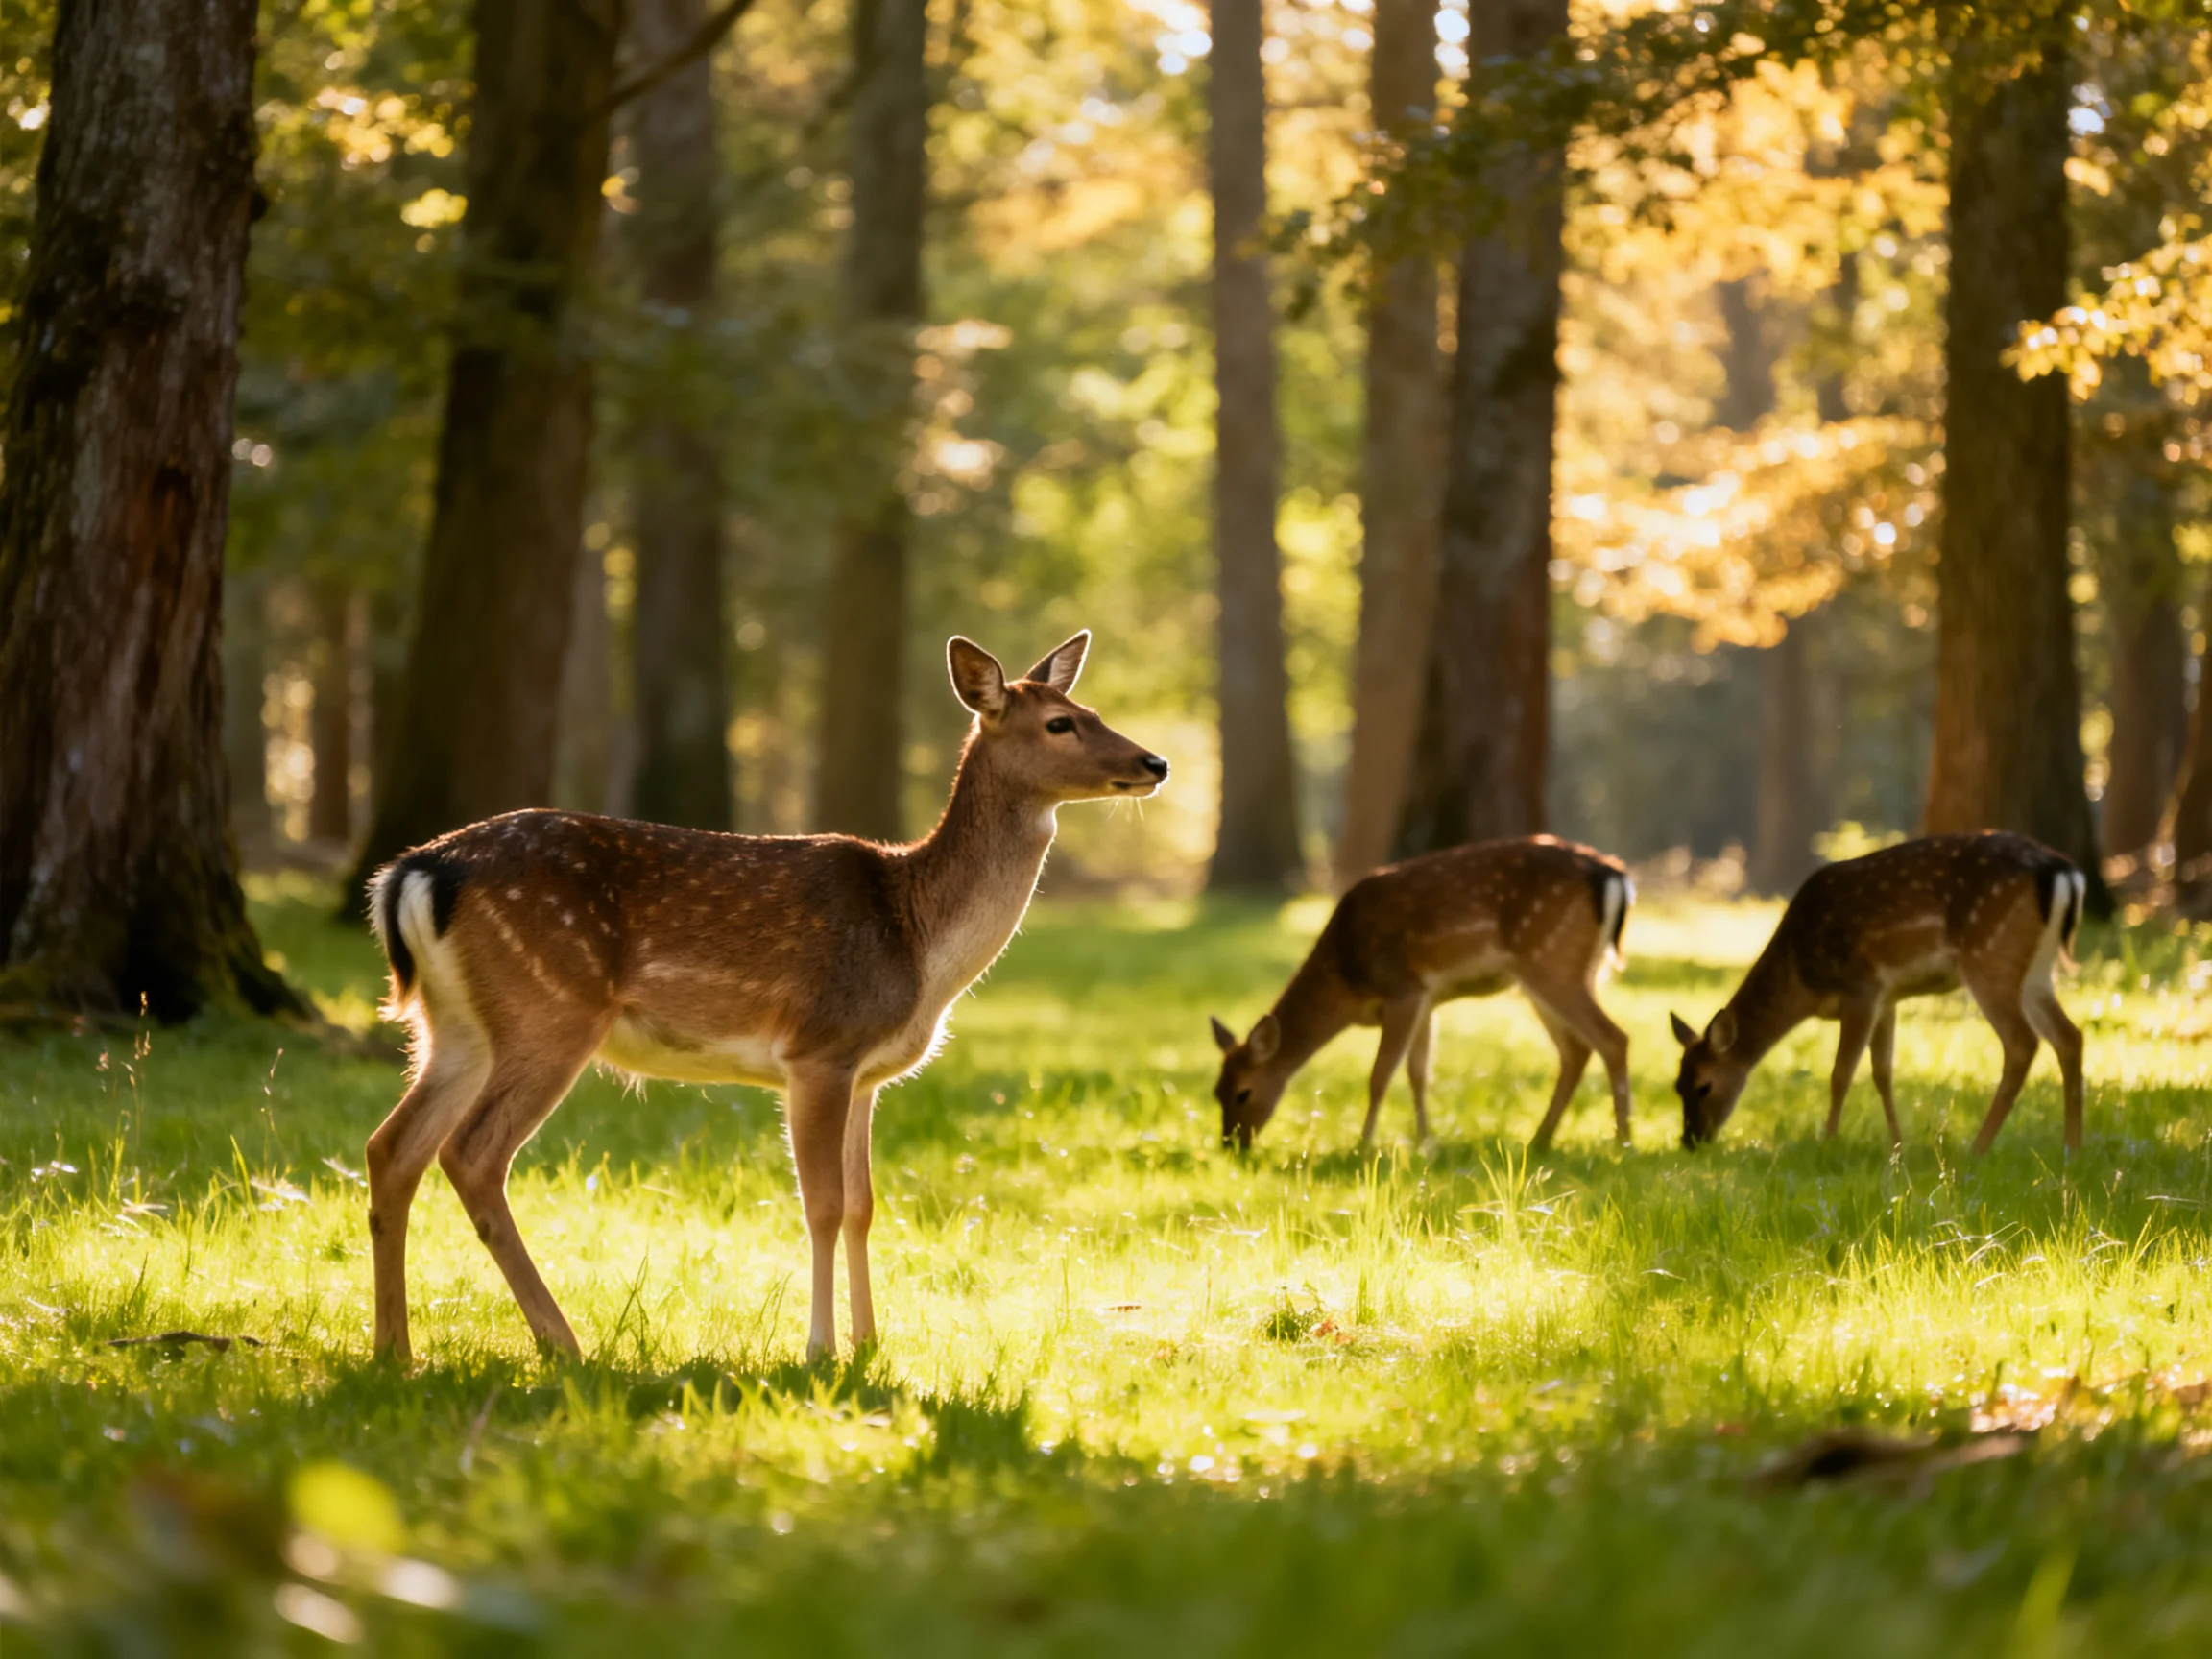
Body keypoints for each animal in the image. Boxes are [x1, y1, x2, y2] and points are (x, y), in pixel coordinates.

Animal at [364, 631, 1167, 1364]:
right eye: (1060, 724)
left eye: (1091, 709)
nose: (1154, 762)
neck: (918, 941)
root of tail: (415, 872)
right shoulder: (820, 1049)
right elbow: (823, 1205)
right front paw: (820, 1349)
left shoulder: (867, 1074)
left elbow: (864, 1205)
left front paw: (871, 1342)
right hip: (551, 1009)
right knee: (471, 1154)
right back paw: (561, 1342)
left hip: (454, 1028)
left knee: (392, 1147)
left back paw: (394, 1351)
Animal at [1210, 837, 1635, 1152]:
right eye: (1216, 1092)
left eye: (1244, 1093)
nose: (1231, 1145)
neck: (1346, 980)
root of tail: (1613, 874)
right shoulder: (1428, 1000)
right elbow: (1419, 1074)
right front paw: (1425, 1143)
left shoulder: (1403, 989)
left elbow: (1380, 1074)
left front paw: (1363, 1147)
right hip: (1564, 972)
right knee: (1576, 1050)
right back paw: (1540, 1140)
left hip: (1550, 959)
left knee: (1614, 1038)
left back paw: (1622, 1143)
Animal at [1670, 831, 2086, 1154]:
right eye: (1677, 1086)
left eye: (1704, 1086)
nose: (1691, 1141)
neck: (1800, 976)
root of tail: (2062, 872)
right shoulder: (1889, 998)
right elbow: (1882, 1072)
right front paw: (1898, 1147)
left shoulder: (1861, 988)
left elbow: (1840, 1073)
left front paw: (1829, 1142)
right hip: (2036, 970)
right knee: (2070, 1036)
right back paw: (2072, 1149)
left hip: (1989, 954)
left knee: (2022, 1043)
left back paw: (1978, 1149)